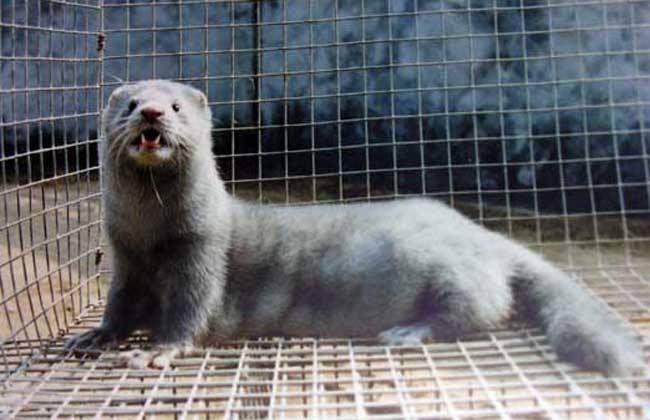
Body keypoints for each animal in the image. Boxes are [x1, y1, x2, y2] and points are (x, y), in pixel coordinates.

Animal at [66, 80, 642, 375]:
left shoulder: (201, 254)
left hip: (452, 272)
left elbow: (191, 313)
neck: (152, 236)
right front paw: (94, 335)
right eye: (131, 103)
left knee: (477, 311)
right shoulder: (124, 261)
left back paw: (407, 332)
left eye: (176, 106)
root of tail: (488, 236)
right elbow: (120, 307)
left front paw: (157, 350)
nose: (152, 115)